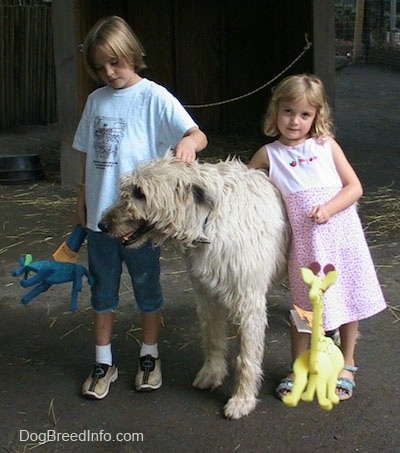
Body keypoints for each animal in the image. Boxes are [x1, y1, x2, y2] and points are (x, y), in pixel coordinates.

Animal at [98, 154, 290, 418]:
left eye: (140, 193)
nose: (102, 225)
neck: (208, 223)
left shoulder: (248, 301)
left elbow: (247, 357)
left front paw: (242, 399)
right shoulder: (206, 293)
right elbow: (212, 337)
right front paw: (212, 373)